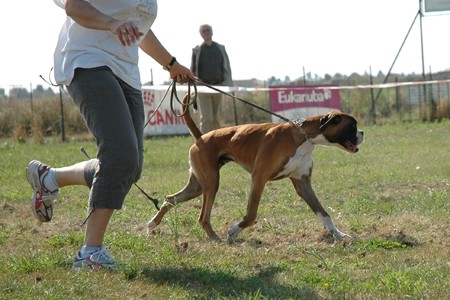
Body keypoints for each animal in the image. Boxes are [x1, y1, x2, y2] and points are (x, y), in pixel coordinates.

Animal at [149, 94, 364, 241]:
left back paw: (152, 224)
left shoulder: (303, 184)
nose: (362, 132)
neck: (303, 137)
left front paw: (339, 235)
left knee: (170, 199)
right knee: (203, 217)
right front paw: (233, 231)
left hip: (198, 186)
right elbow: (251, 215)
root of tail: (201, 137)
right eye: (352, 126)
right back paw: (217, 239)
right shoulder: (259, 178)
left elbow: (324, 214)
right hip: (211, 183)